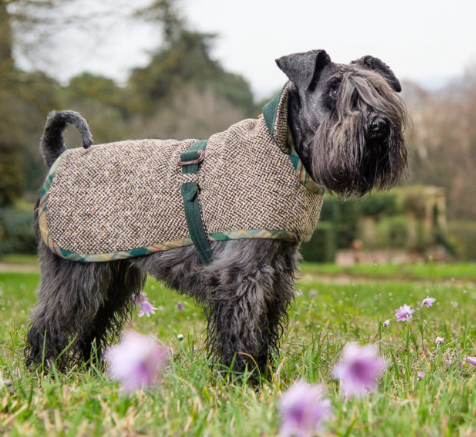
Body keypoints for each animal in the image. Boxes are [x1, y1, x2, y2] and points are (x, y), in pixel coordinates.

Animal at [25, 48, 406, 374]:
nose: (378, 126)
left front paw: (262, 375)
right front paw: (243, 379)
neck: (284, 149)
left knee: (91, 325)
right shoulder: (241, 274)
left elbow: (265, 330)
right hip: (76, 272)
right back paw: (46, 371)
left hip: (112, 274)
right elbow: (242, 332)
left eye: (379, 88)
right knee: (51, 321)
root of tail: (59, 157)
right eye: (333, 88)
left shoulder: (276, 272)